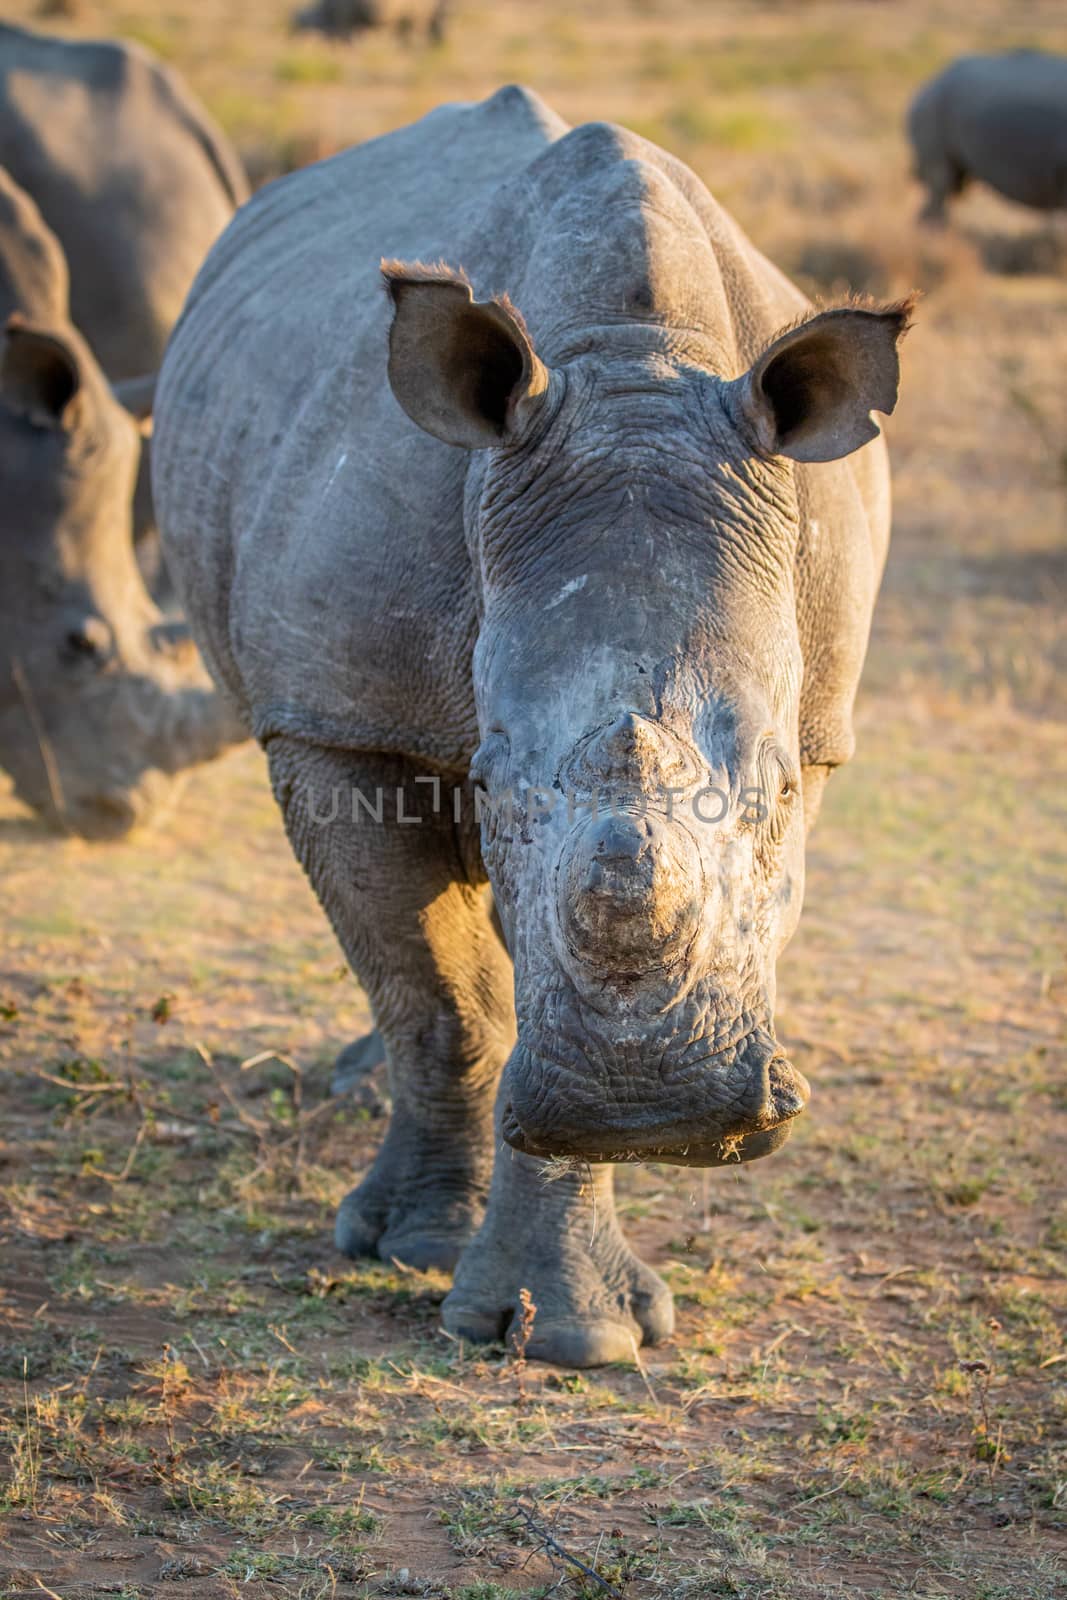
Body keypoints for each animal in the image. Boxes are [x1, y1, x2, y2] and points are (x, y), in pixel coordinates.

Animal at [154, 84, 915, 1363]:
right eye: (496, 775)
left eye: (775, 789)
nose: (652, 1103)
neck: (636, 367)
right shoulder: (336, 716)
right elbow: (445, 1001)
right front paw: (421, 1253)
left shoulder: (815, 721)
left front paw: (575, 1332)